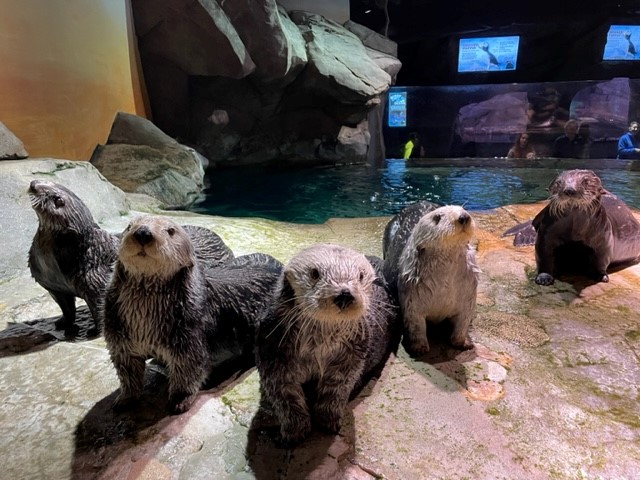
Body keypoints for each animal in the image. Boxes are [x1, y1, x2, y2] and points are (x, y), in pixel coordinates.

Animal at [103, 215, 282, 414]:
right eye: (129, 226)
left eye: (171, 231)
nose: (142, 233)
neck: (144, 317)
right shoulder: (120, 337)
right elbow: (128, 372)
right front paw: (125, 399)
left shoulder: (189, 336)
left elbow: (188, 372)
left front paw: (179, 402)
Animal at [255, 244, 399, 444]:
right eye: (314, 273)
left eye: (361, 275)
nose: (344, 294)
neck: (319, 345)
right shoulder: (273, 351)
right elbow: (285, 395)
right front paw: (294, 431)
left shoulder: (350, 358)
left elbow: (336, 390)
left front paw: (328, 420)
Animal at [383, 201, 479, 356]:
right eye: (437, 217)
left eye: (463, 209)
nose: (463, 217)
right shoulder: (411, 299)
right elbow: (416, 324)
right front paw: (419, 347)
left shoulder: (468, 296)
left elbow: (463, 322)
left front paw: (464, 342)